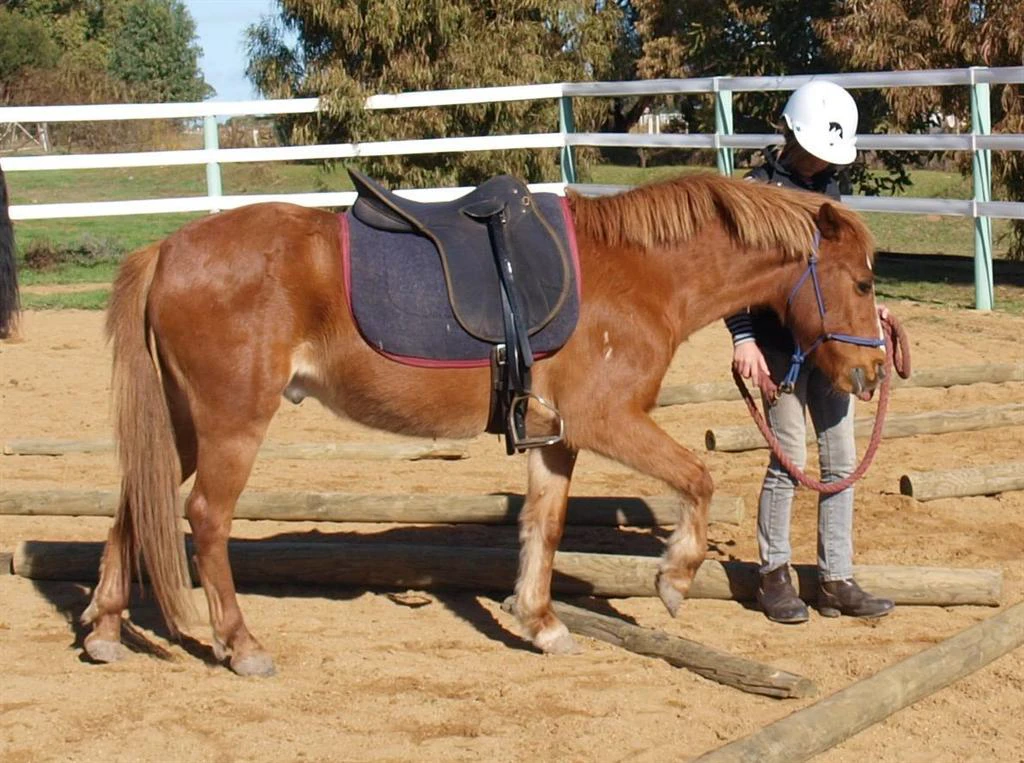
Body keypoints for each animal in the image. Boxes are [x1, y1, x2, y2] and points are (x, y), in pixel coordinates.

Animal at [82, 171, 887, 676]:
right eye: (863, 280)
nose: (871, 374)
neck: (637, 274)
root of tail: (167, 249)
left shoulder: (558, 436)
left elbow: (545, 525)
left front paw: (541, 623)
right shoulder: (608, 420)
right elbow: (699, 476)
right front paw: (674, 578)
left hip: (181, 424)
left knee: (133, 503)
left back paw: (105, 628)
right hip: (229, 425)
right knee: (206, 519)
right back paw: (239, 644)